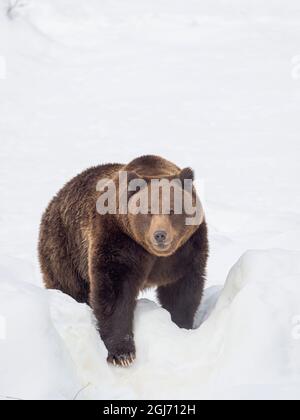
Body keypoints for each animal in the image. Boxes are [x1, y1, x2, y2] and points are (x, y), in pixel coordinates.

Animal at [38, 156, 209, 366]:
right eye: (148, 210)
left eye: (172, 209)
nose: (160, 235)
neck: (155, 255)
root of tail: (55, 198)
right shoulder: (119, 241)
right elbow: (115, 293)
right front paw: (122, 353)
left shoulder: (187, 249)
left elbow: (183, 291)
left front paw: (181, 327)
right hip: (65, 249)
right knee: (69, 287)